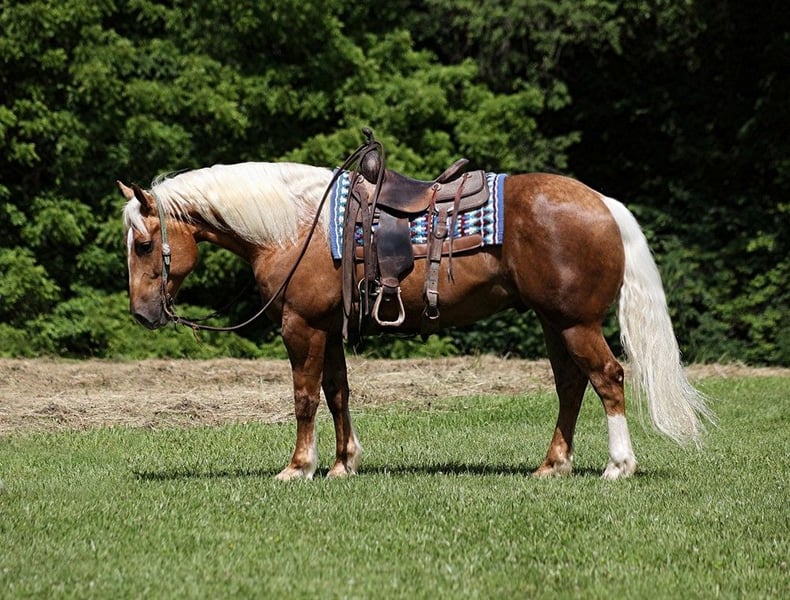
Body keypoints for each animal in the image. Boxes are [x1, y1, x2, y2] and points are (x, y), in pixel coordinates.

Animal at [118, 159, 713, 480]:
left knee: (608, 378)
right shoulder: (328, 327)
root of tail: (603, 202)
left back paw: (618, 465)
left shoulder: (301, 325)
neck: (297, 225)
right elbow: (338, 392)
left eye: (145, 245)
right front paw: (343, 463)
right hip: (554, 321)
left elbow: (305, 396)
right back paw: (552, 465)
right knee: (571, 385)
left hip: (574, 322)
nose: (142, 315)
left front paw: (298, 466)